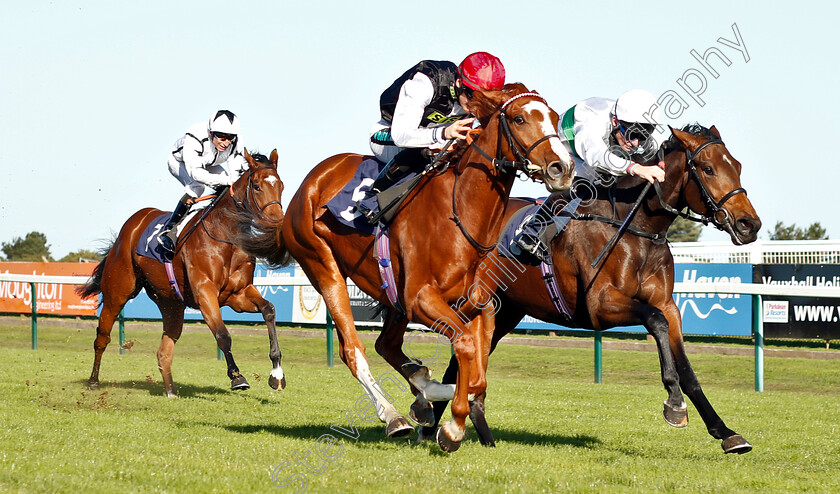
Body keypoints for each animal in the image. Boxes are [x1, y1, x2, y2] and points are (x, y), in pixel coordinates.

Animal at [79, 150, 288, 398]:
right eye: (256, 186)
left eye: (281, 186)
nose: (277, 222)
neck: (226, 237)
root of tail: (131, 225)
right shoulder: (205, 293)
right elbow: (223, 335)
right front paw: (237, 377)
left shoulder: (238, 294)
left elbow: (269, 310)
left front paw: (277, 374)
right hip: (117, 293)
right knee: (102, 336)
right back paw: (93, 381)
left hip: (171, 304)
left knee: (164, 352)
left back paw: (171, 392)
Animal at [278, 84, 576, 452]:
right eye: (519, 118)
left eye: (554, 116)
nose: (563, 167)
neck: (462, 215)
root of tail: (313, 178)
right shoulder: (421, 298)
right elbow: (466, 347)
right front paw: (453, 427)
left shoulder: (479, 303)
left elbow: (477, 375)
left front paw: (442, 406)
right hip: (323, 267)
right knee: (353, 350)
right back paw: (394, 417)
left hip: (390, 293)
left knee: (386, 345)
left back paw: (422, 395)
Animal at [412, 124, 760, 456]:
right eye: (707, 168)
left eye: (738, 166)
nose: (749, 225)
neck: (639, 230)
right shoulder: (601, 306)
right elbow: (654, 320)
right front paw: (674, 402)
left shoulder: (668, 304)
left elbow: (685, 364)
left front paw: (726, 433)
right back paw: (434, 424)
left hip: (505, 312)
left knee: (461, 362)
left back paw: (462, 433)